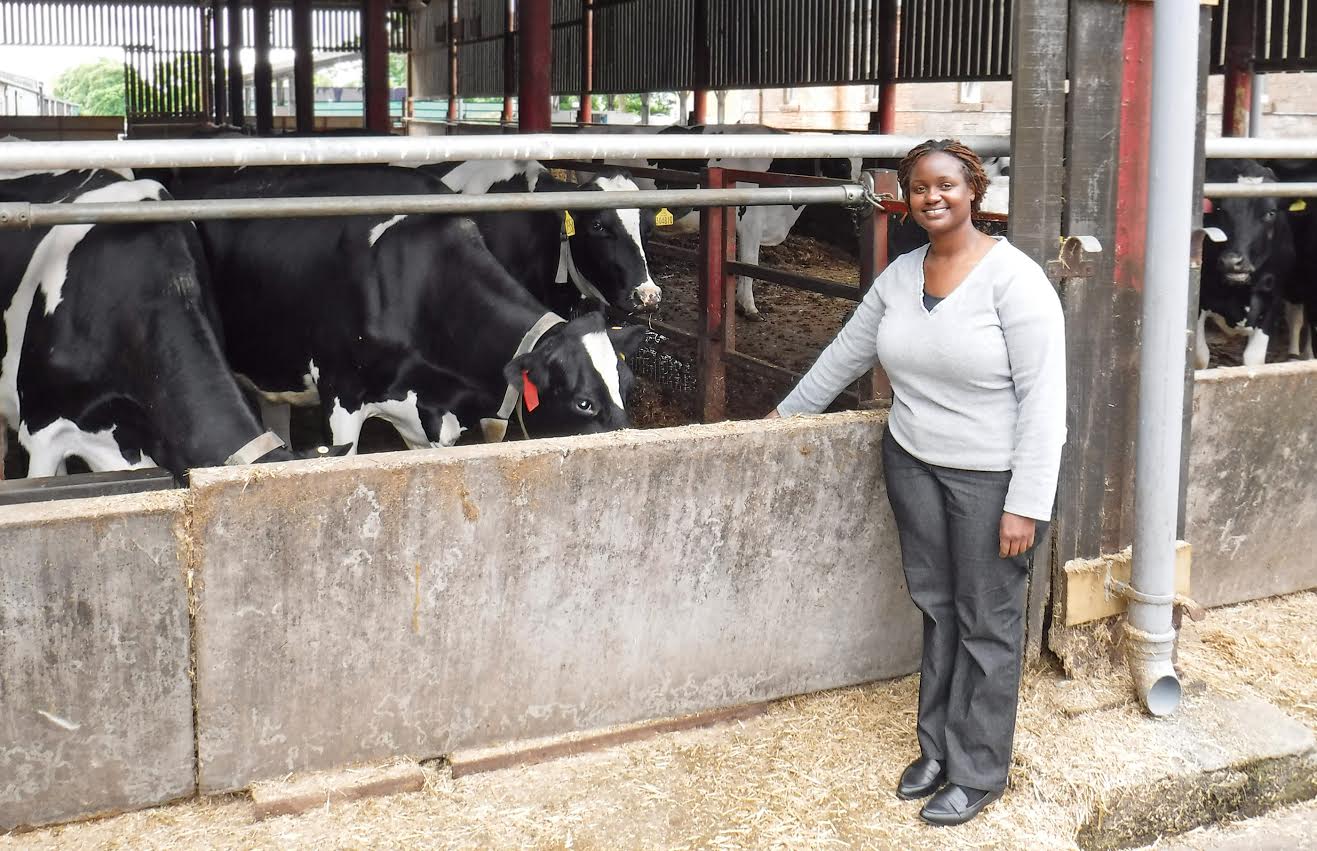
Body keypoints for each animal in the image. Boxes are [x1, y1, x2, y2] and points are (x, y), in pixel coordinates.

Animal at [1201, 160, 1301, 368]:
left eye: (1270, 213)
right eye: (1220, 210)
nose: (1232, 262)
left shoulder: (1272, 300)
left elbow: (1254, 360)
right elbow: (1200, 356)